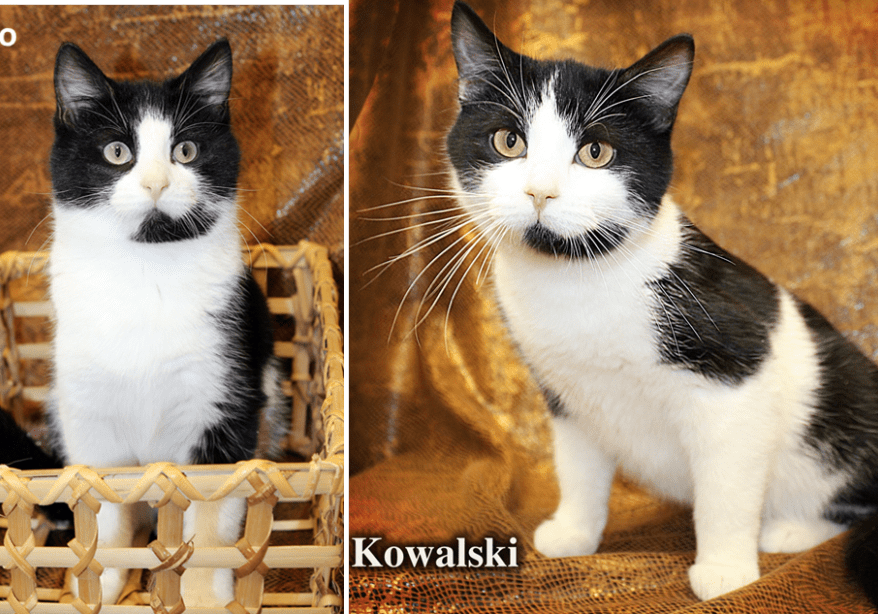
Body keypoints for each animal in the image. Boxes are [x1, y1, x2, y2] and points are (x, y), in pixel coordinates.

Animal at [47, 41, 286, 608]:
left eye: (186, 151)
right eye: (117, 152)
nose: (156, 182)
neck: (146, 270)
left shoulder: (226, 402)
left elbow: (213, 511)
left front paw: (202, 596)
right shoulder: (88, 418)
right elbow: (102, 509)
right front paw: (100, 585)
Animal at [446, 1, 878, 608]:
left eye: (595, 152)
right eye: (508, 141)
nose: (539, 192)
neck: (579, 277)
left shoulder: (732, 380)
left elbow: (726, 485)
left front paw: (724, 568)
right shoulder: (566, 393)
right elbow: (577, 466)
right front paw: (574, 530)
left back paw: (791, 530)